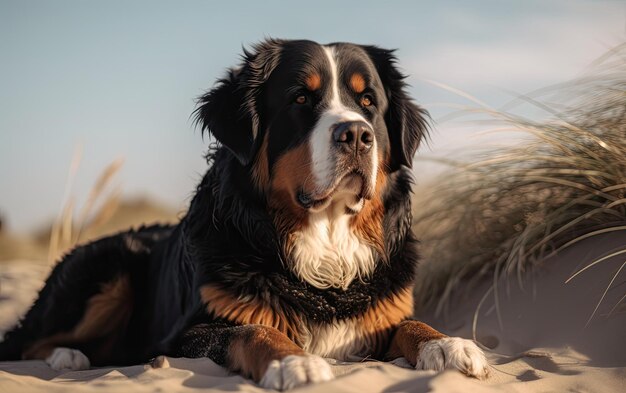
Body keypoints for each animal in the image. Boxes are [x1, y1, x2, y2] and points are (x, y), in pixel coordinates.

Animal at [0, 38, 488, 388]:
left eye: (368, 101)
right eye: (300, 99)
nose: (356, 134)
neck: (324, 241)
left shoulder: (377, 316)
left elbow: (411, 322)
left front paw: (448, 345)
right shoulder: (190, 332)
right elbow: (252, 330)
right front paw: (295, 362)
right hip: (104, 270)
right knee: (23, 341)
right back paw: (67, 357)